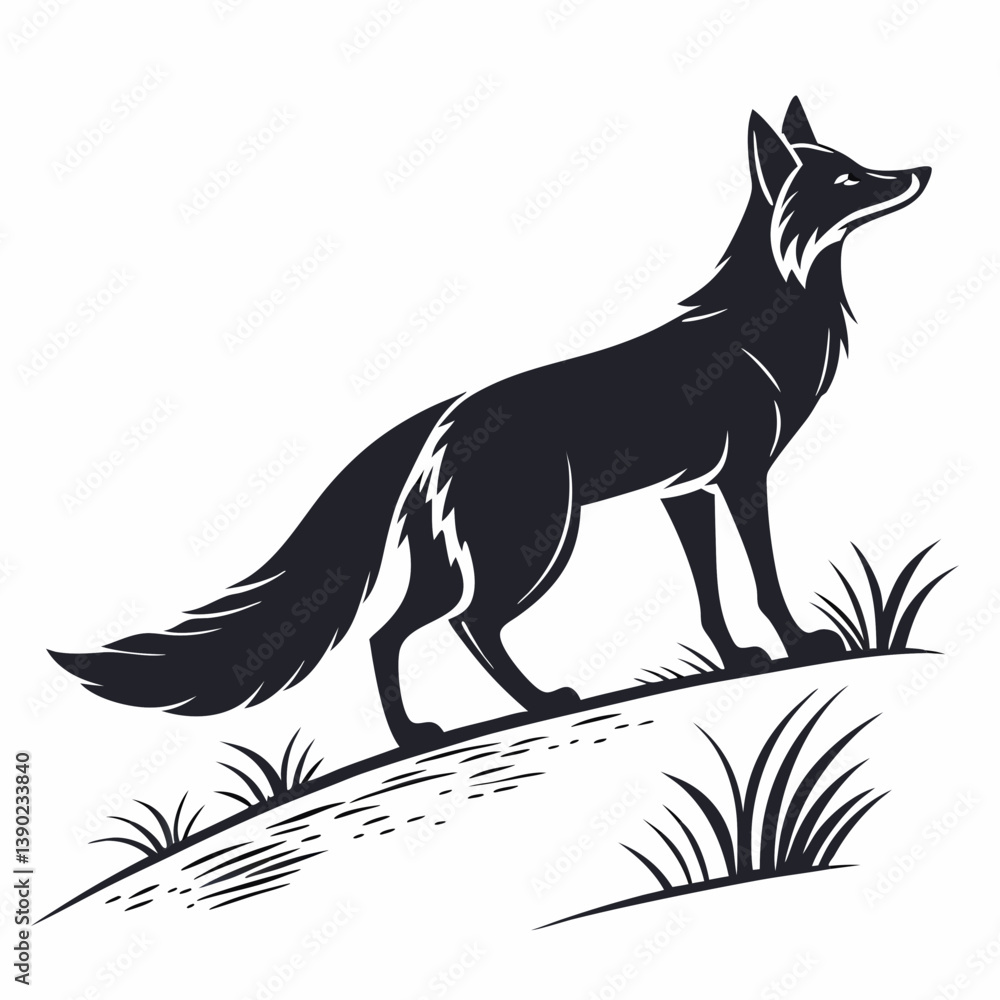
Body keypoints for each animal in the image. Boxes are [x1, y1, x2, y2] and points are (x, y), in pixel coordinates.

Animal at [50, 97, 930, 749]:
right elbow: (766, 580)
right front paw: (798, 644)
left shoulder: (685, 494)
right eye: (849, 177)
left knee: (391, 633)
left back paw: (418, 733)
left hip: (474, 557)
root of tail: (443, 415)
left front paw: (736, 657)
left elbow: (712, 595)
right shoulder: (744, 478)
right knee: (460, 627)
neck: (763, 330)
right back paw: (534, 704)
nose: (921, 169)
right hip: (532, 550)